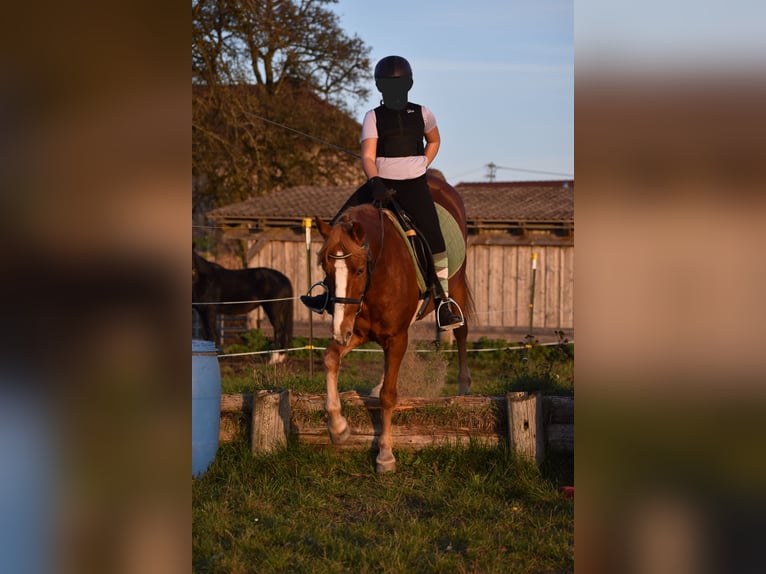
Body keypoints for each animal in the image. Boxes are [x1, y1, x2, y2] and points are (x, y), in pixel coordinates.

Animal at [314, 176, 472, 472]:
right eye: (325, 270)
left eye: (359, 270)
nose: (339, 330)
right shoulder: (359, 331)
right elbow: (330, 358)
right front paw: (338, 428)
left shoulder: (396, 337)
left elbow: (389, 396)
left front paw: (385, 455)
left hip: (456, 285)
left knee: (461, 332)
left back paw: (464, 386)